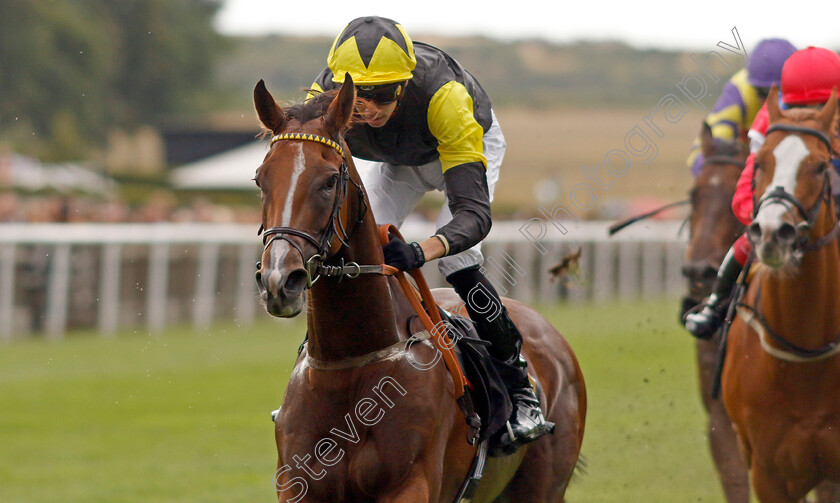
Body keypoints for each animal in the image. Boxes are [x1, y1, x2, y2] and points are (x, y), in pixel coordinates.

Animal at [253, 76, 588, 503]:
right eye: (260, 178)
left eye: (329, 181)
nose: (280, 279)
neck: (349, 366)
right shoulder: (298, 486)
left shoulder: (411, 484)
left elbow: (474, 215)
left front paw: (405, 252)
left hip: (543, 486)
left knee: (463, 267)